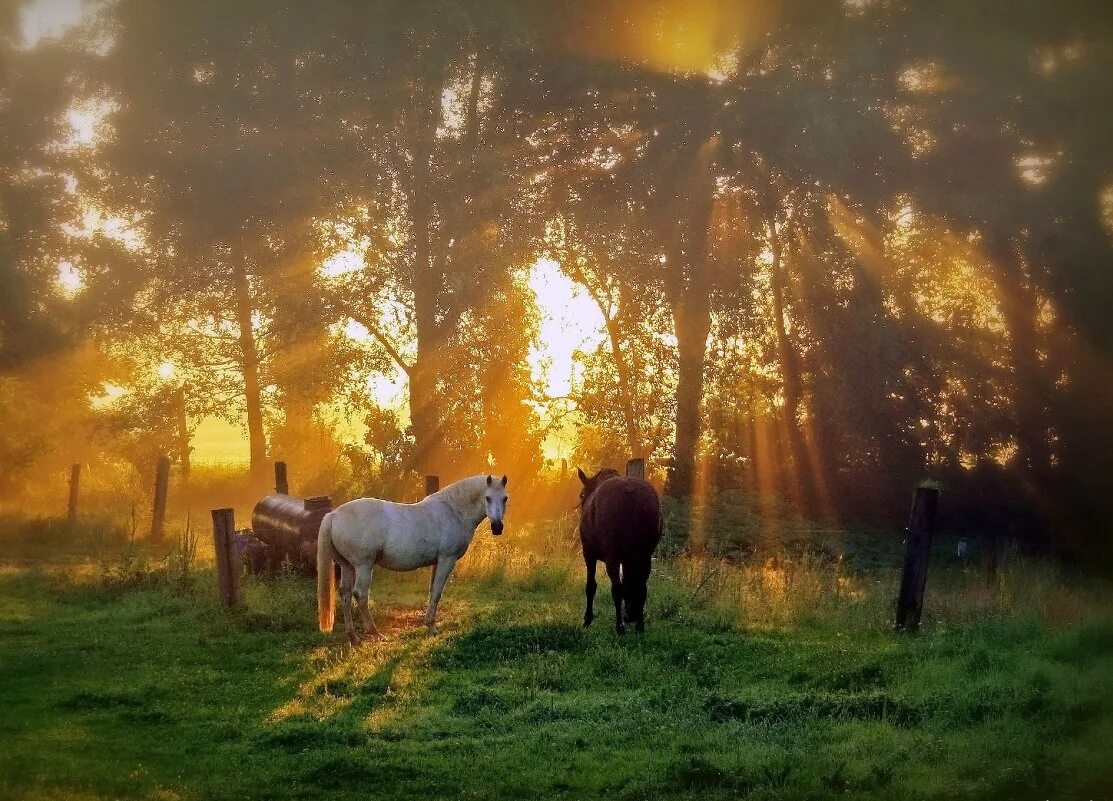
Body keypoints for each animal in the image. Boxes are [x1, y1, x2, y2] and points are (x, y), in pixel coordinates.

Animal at [318, 471, 509, 640]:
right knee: (360, 594)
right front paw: (431, 627)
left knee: (345, 593)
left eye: (505, 498)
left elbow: (432, 591)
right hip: (363, 565)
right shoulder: (447, 559)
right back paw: (374, 632)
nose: (497, 527)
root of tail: (334, 514)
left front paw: (429, 623)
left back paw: (353, 636)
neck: (454, 510)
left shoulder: (437, 562)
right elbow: (438, 591)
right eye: (487, 498)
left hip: (347, 566)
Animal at [578, 469, 654, 631]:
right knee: (641, 588)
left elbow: (591, 586)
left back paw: (620, 626)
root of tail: (630, 493)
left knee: (617, 589)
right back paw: (639, 625)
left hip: (612, 557)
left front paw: (588, 619)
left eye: (582, 494)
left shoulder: (588, 553)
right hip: (645, 557)